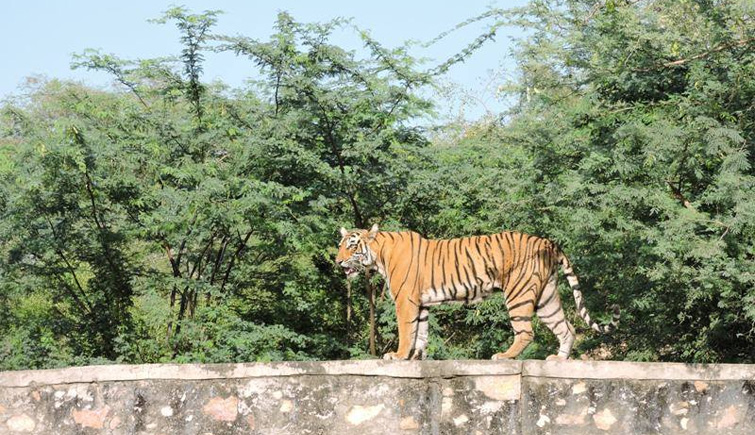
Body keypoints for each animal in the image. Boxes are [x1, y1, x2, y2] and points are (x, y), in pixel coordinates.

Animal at [336, 225, 620, 362]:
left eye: (352, 246)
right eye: (340, 245)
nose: (337, 261)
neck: (379, 256)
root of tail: (548, 242)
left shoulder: (406, 301)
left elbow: (407, 331)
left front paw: (397, 356)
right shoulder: (422, 304)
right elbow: (421, 333)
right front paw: (415, 358)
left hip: (519, 294)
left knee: (526, 332)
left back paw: (503, 356)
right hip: (546, 298)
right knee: (567, 328)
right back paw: (558, 360)